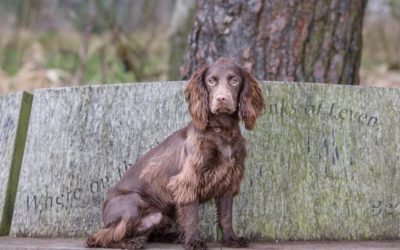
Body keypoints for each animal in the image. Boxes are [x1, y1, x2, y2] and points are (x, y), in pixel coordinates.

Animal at [86, 57, 264, 249]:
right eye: (211, 81)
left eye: (234, 80)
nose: (222, 99)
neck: (222, 132)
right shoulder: (188, 180)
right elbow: (192, 216)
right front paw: (193, 241)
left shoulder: (228, 180)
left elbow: (226, 216)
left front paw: (231, 239)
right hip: (132, 203)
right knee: (102, 236)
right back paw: (130, 242)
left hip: (159, 215)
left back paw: (170, 236)